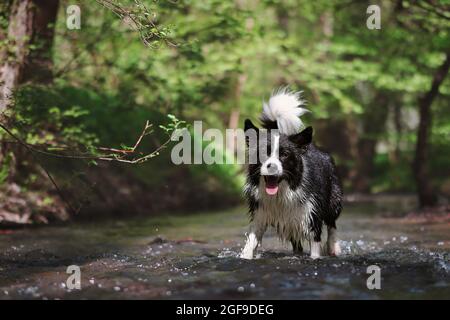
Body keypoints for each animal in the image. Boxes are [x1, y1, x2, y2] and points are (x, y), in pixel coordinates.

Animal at [241, 89, 342, 258]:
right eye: (263, 153)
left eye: (284, 155)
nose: (271, 167)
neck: (282, 193)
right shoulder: (260, 214)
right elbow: (249, 244)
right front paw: (245, 257)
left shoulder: (312, 218)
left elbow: (315, 251)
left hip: (333, 199)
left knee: (332, 223)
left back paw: (334, 247)